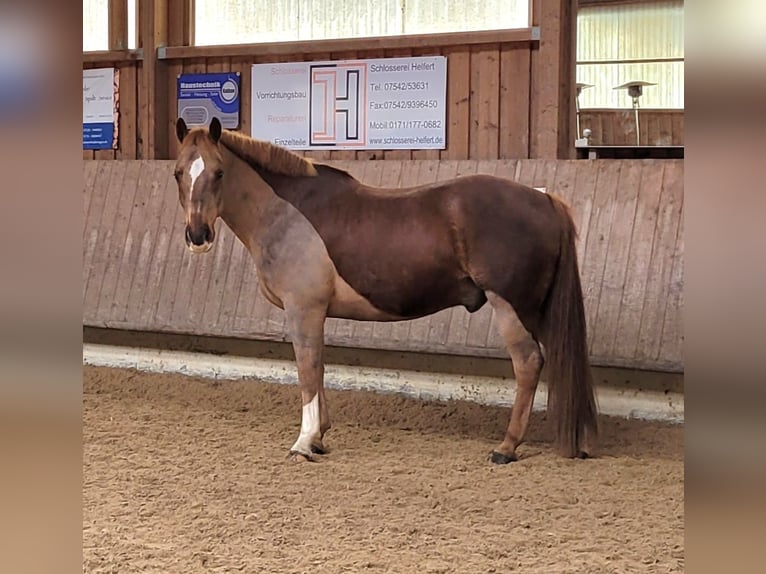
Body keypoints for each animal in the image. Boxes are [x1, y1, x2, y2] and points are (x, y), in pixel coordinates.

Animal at [174, 119, 600, 466]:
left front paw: (304, 442)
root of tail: (543, 198)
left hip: (511, 306)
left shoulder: (303, 310)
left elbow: (307, 369)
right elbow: (319, 366)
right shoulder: (316, 314)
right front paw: (320, 438)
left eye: (218, 172)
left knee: (528, 363)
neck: (287, 213)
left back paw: (506, 447)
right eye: (179, 173)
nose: (198, 236)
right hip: (536, 311)